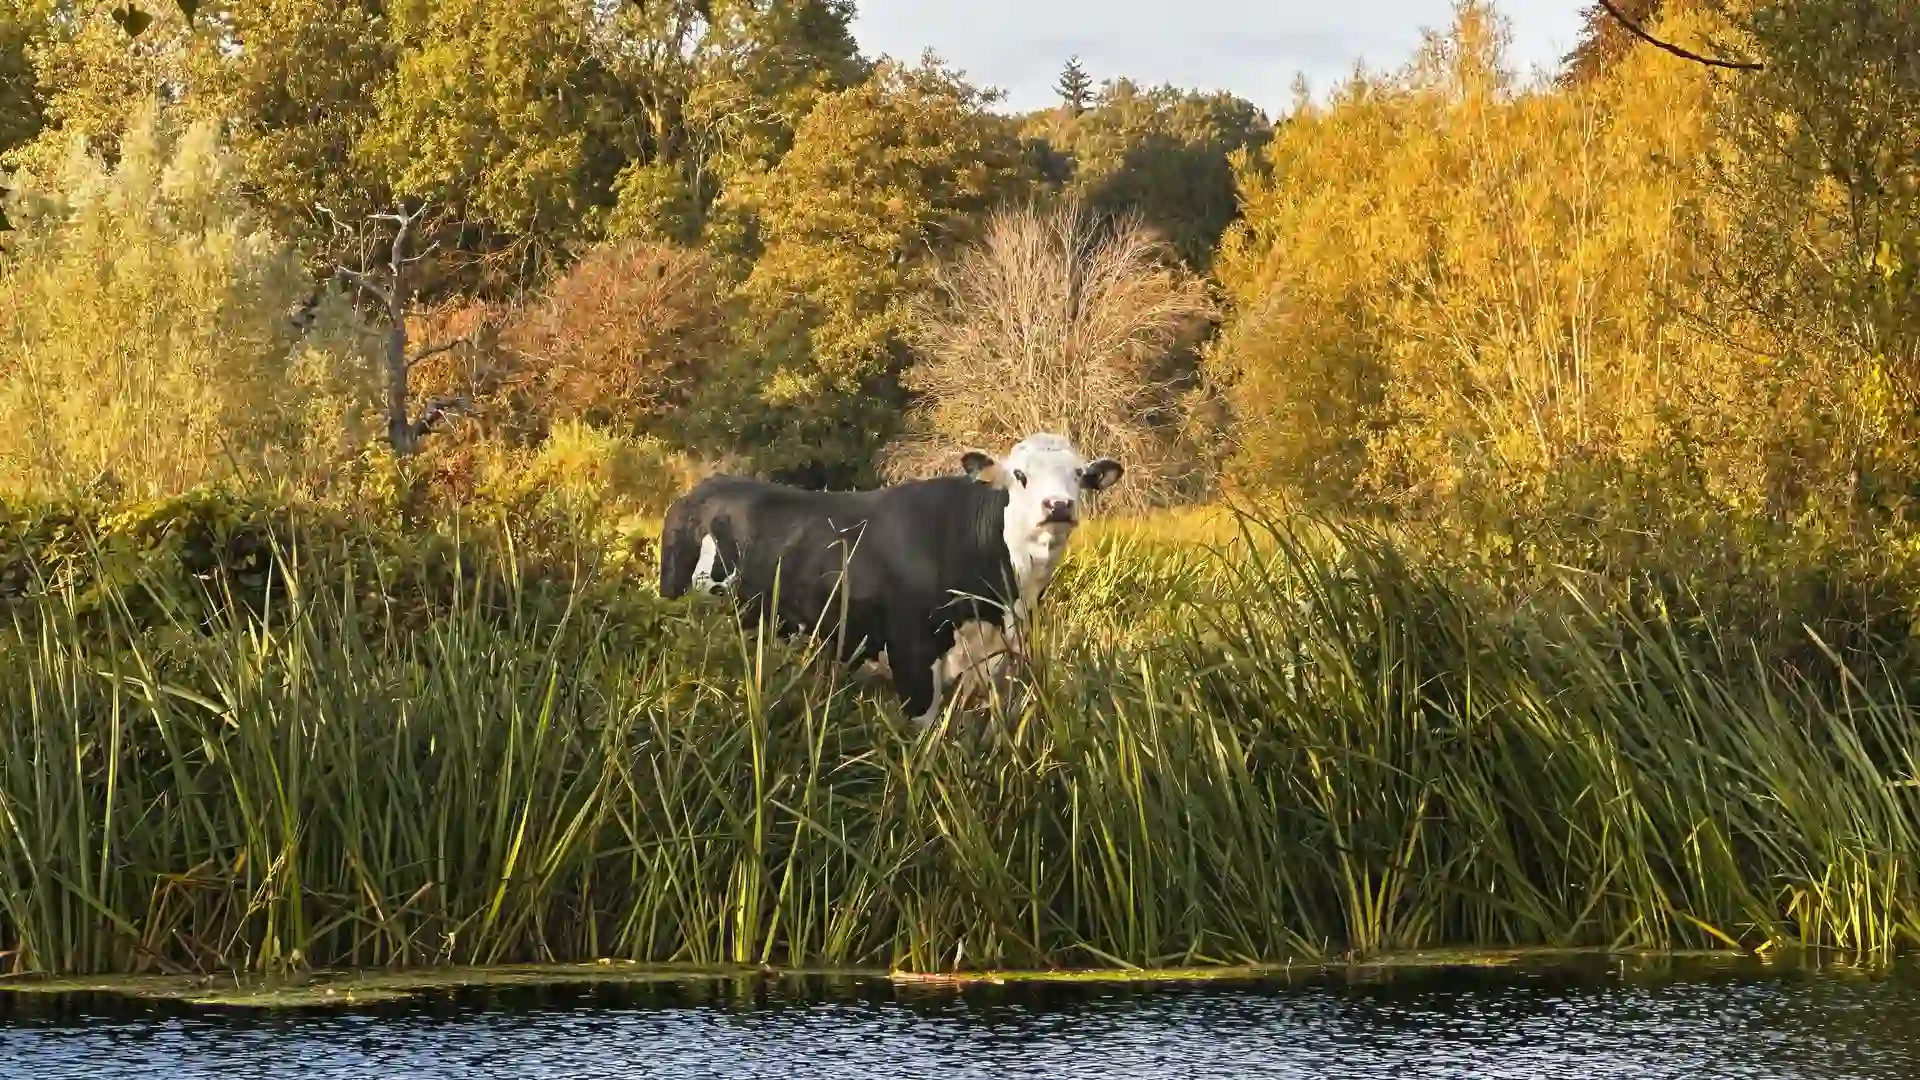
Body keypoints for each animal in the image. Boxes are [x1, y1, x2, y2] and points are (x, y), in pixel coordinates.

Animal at [657, 433, 1124, 726]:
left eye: (1079, 475)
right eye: (1020, 476)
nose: (1058, 505)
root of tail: (697, 492)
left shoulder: (992, 663)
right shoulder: (913, 657)